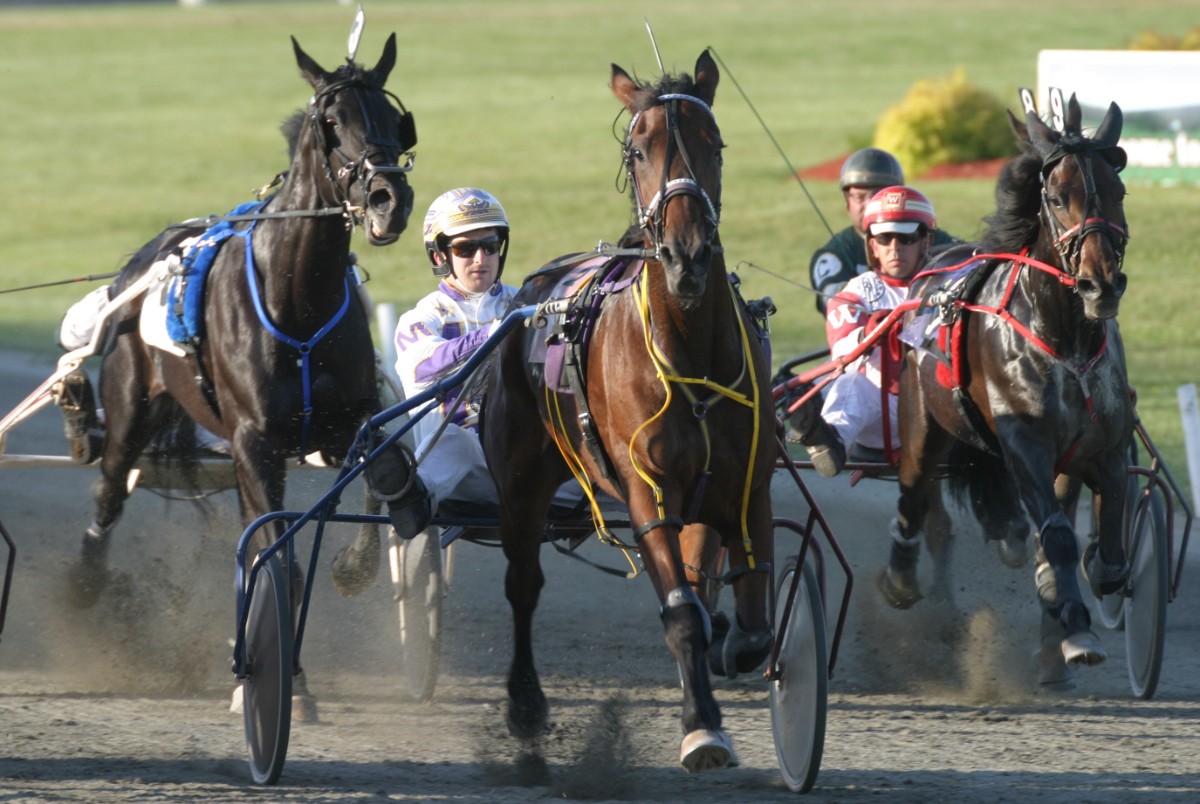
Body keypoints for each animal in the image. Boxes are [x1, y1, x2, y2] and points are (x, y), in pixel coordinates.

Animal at [65, 31, 415, 715]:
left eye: (394, 122)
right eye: (332, 123)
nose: (389, 198)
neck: (297, 298)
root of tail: (145, 258)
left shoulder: (347, 420)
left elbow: (384, 470)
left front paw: (353, 567)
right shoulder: (256, 441)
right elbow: (276, 554)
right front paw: (289, 682)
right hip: (131, 404)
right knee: (112, 485)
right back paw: (85, 583)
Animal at [480, 50, 772, 772]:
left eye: (714, 142)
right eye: (639, 150)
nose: (687, 255)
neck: (689, 346)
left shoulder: (745, 483)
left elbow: (744, 618)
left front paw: (730, 647)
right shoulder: (649, 492)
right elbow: (680, 612)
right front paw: (702, 727)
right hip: (520, 484)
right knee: (522, 582)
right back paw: (525, 706)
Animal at [883, 94, 1132, 686]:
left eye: (1118, 191)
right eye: (1058, 197)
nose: (1101, 284)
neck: (1065, 340)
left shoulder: (1103, 446)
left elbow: (1110, 527)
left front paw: (1093, 577)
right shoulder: (1026, 445)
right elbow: (1057, 535)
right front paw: (1078, 631)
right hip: (921, 421)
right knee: (914, 492)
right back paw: (901, 579)